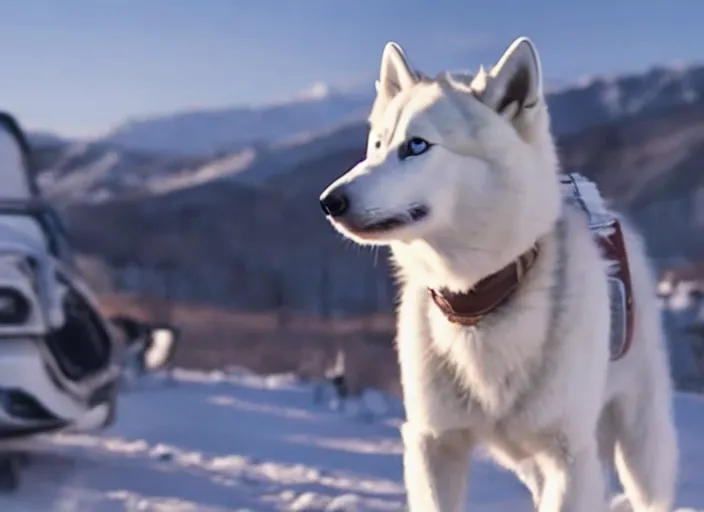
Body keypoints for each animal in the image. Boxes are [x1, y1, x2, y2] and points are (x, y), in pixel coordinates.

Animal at [320, 37, 676, 512]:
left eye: (417, 145)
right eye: (376, 145)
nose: (329, 201)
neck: (478, 301)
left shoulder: (569, 457)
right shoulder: (435, 444)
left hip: (640, 451)